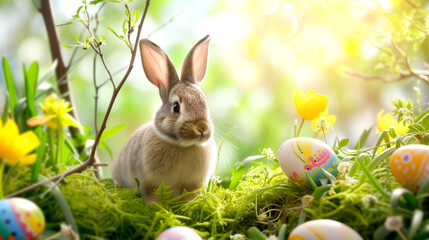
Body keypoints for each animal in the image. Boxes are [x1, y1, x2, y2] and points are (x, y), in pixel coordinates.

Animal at [111, 34, 217, 203]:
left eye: (204, 102)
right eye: (176, 107)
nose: (202, 128)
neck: (183, 146)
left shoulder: (193, 183)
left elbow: (190, 196)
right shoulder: (150, 183)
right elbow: (153, 197)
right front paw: (157, 207)